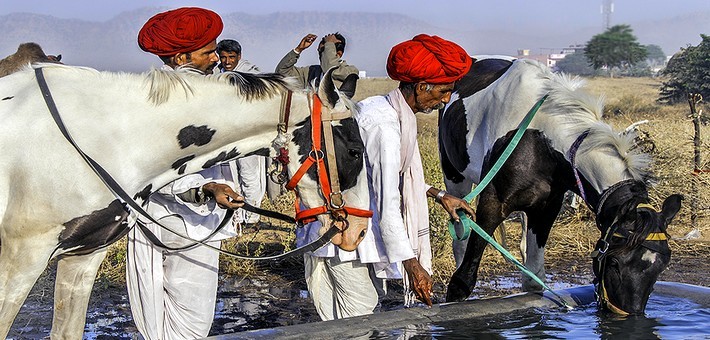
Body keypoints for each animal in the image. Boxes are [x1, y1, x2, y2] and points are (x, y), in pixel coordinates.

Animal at [440, 57, 684, 314]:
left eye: (663, 265)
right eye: (615, 262)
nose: (628, 314)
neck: (541, 139)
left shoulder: (546, 209)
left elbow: (534, 280)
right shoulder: (492, 203)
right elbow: (463, 280)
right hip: (455, 178)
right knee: (460, 237)